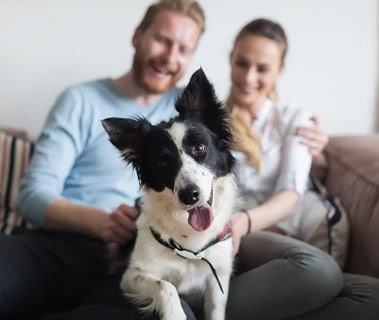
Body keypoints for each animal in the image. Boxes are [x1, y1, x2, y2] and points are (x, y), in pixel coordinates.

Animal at [102, 68, 236, 320]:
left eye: (200, 148)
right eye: (162, 163)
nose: (190, 195)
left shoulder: (218, 280)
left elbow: (215, 311)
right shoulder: (131, 275)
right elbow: (166, 286)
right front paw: (174, 313)